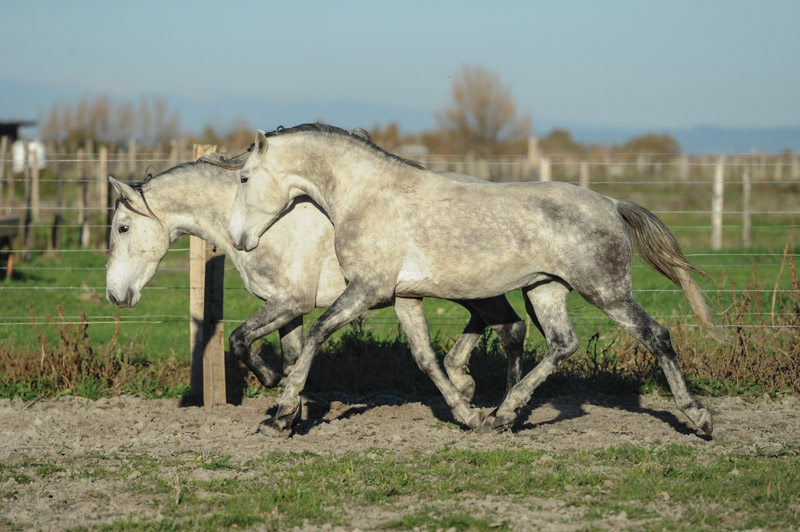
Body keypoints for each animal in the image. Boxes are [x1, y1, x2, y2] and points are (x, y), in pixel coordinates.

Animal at [106, 154, 528, 400]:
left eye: (123, 228)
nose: (114, 294)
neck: (261, 223)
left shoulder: (290, 300)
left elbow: (240, 339)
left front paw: (274, 383)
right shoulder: (287, 308)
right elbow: (291, 354)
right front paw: (289, 400)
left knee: (510, 328)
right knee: (496, 324)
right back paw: (465, 382)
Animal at [228, 123, 720, 436]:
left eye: (245, 177)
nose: (238, 238)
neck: (366, 195)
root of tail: (612, 203)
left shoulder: (366, 290)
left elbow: (315, 335)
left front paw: (281, 414)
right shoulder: (403, 296)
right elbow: (426, 359)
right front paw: (468, 412)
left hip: (606, 292)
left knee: (656, 335)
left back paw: (698, 419)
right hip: (544, 290)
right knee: (562, 344)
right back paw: (504, 414)